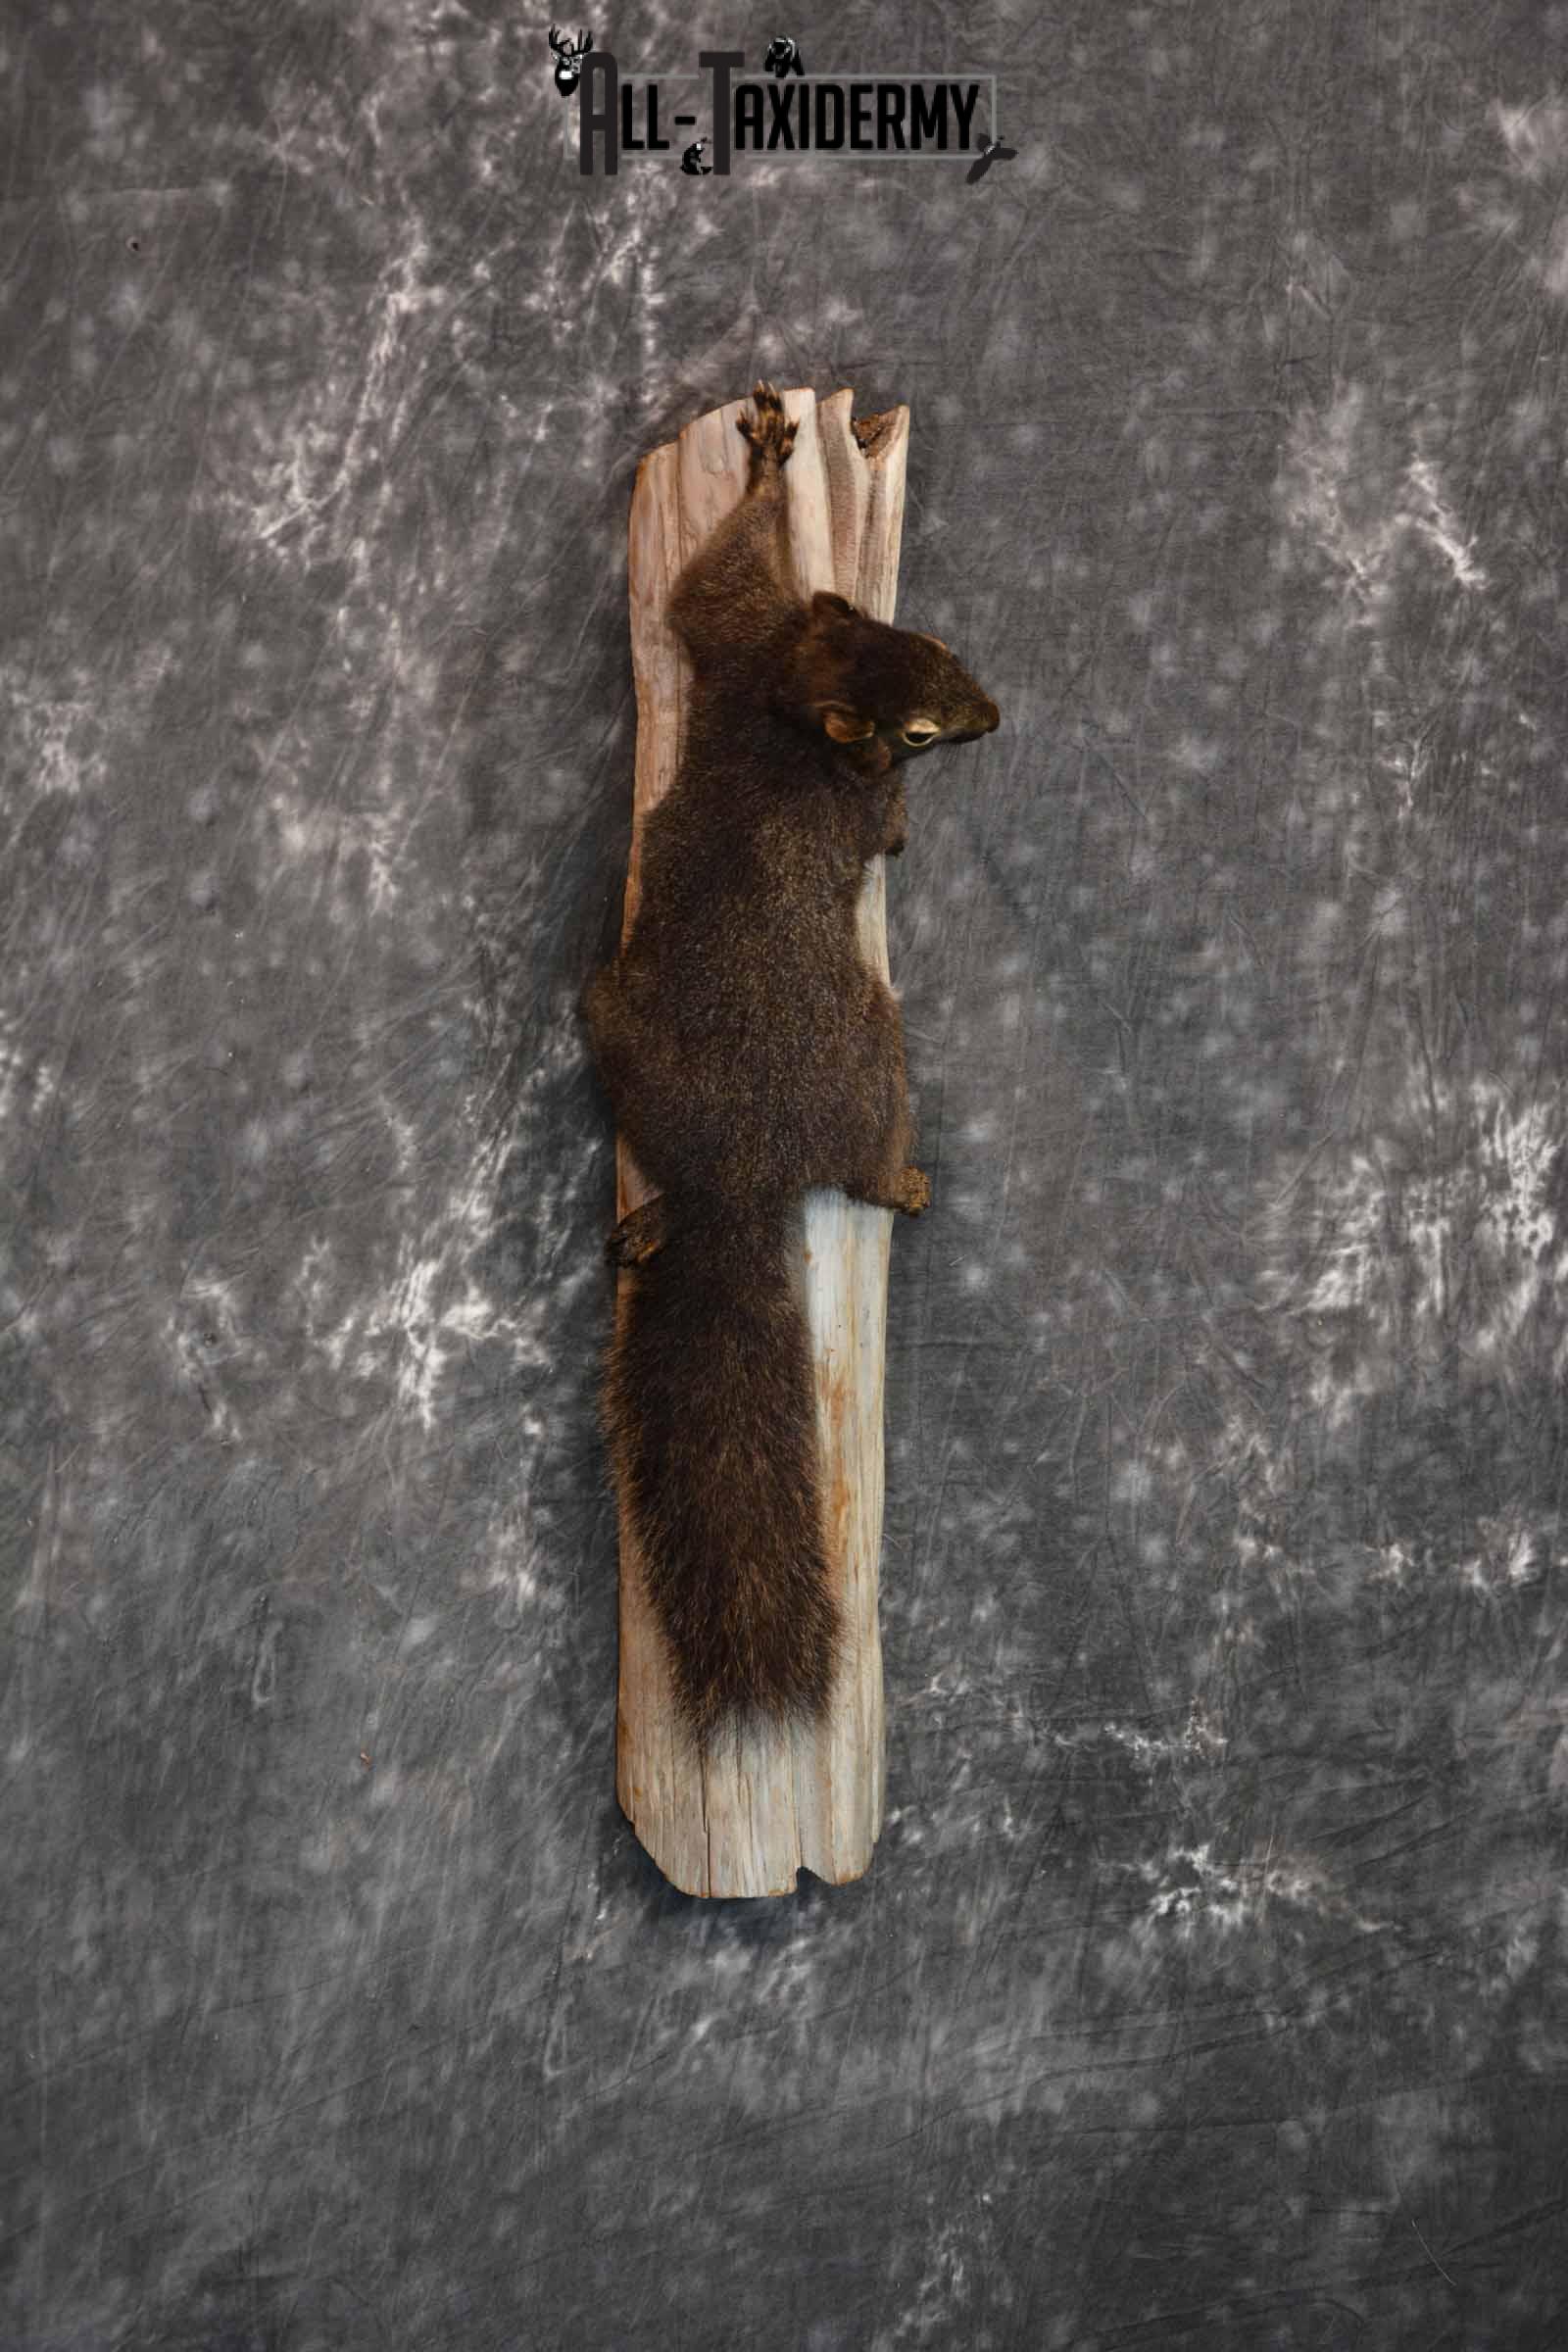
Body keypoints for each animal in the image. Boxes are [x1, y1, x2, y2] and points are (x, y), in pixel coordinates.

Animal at [585, 382, 1000, 1754]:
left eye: (925, 635)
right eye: (919, 731)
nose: (993, 715)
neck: (782, 696)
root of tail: (737, 1173)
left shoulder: (737, 630)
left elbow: (703, 589)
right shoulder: (827, 749)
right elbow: (881, 824)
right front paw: (768, 458)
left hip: (613, 1021)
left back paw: (649, 1222)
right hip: (873, 1046)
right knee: (868, 1143)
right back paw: (896, 1182)